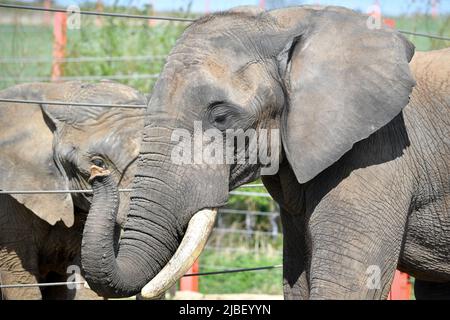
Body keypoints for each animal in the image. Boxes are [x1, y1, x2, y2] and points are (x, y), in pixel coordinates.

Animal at [81, 5, 450, 300]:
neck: (285, 23)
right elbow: (297, 282)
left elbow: (348, 285)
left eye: (221, 117)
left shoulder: (377, 153)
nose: (97, 168)